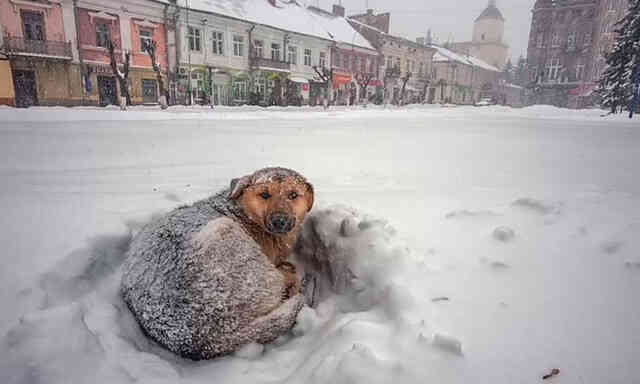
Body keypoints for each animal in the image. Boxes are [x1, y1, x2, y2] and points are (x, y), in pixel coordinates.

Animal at [121, 167, 314, 360]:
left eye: (293, 195)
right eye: (264, 194)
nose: (279, 221)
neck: (244, 214)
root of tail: (206, 340)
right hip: (227, 237)